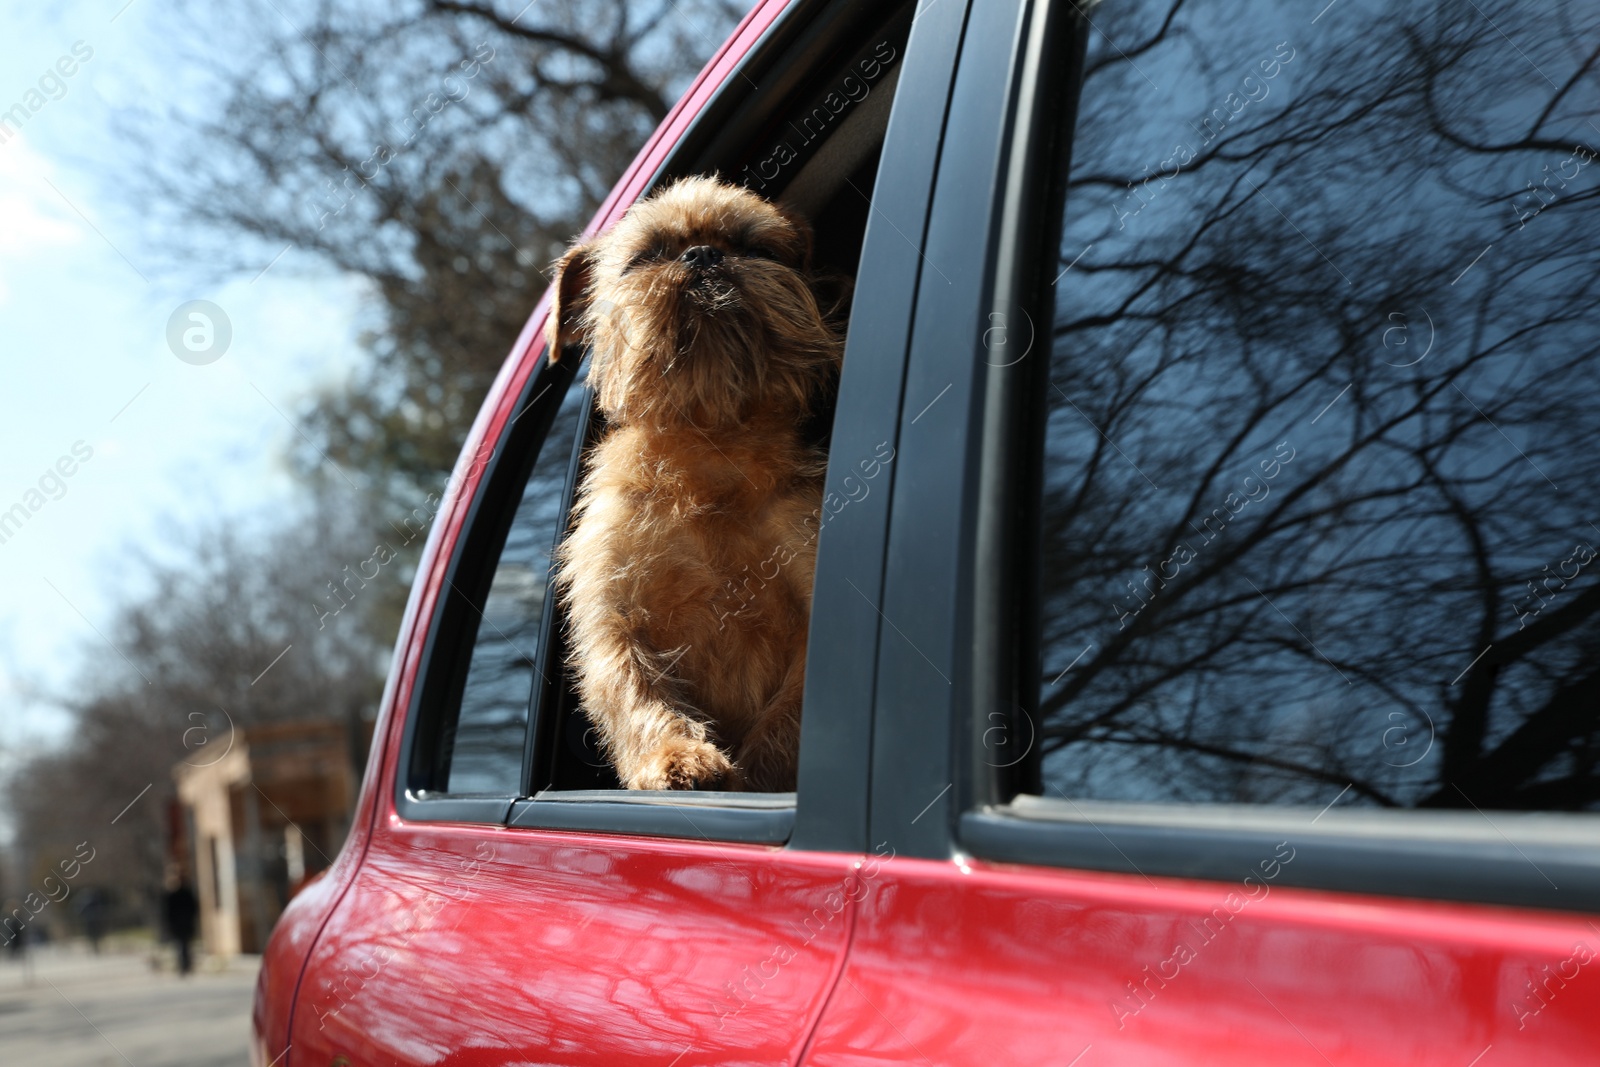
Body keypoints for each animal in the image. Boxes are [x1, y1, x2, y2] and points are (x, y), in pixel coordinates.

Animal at [550, 177, 844, 793]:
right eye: (646, 257)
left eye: (755, 247)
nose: (705, 254)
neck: (710, 448)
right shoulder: (614, 612)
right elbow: (632, 685)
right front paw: (675, 756)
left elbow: (788, 721)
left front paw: (754, 780)